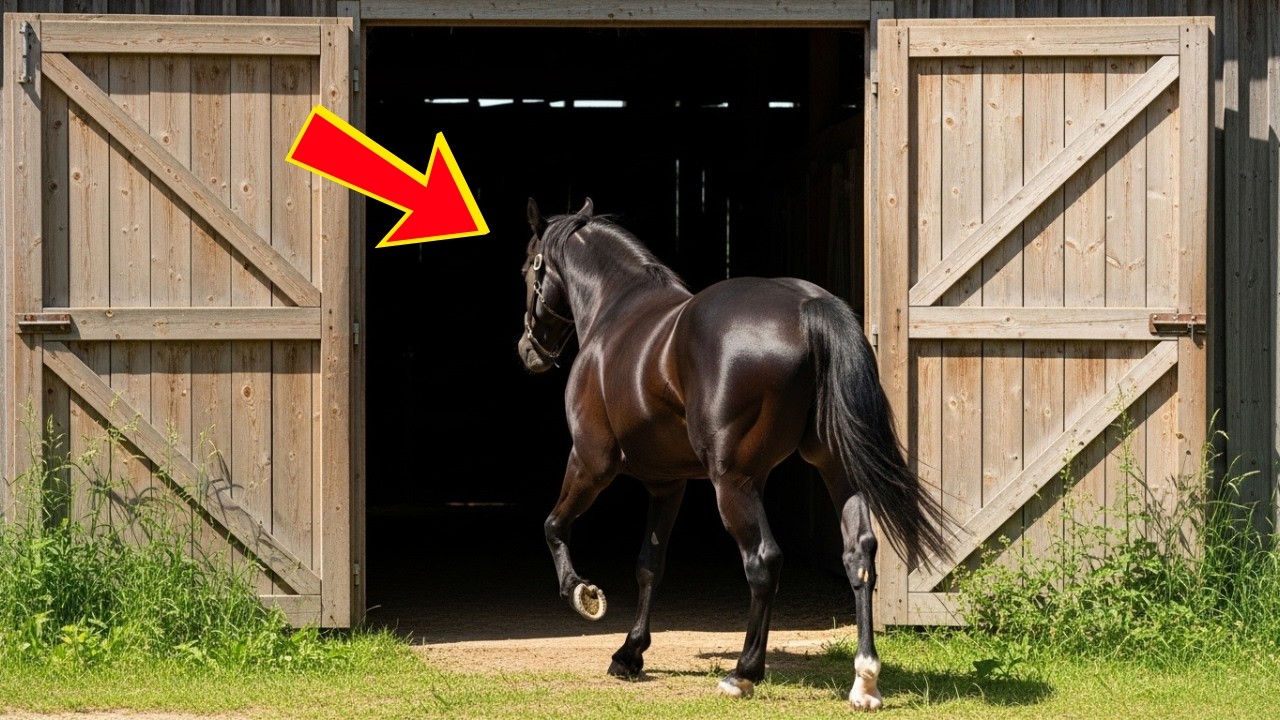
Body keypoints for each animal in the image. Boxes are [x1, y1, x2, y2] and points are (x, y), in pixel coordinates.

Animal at [516, 197, 949, 710]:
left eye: (528, 268)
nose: (528, 350)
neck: (616, 311)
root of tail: (807, 307)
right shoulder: (667, 484)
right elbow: (649, 565)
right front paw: (630, 653)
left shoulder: (590, 461)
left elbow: (554, 526)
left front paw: (582, 594)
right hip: (836, 468)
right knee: (859, 553)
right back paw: (864, 681)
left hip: (733, 482)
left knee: (762, 561)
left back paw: (743, 673)